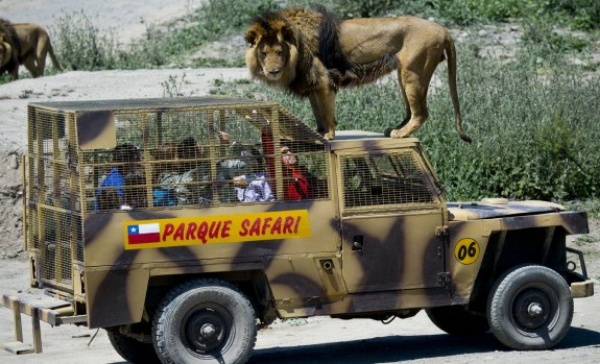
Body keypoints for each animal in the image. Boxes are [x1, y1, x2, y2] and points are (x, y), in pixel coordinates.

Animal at [246, 7, 472, 143]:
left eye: (280, 52)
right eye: (263, 53)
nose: (273, 71)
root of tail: (444, 30)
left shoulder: (324, 79)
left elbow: (326, 111)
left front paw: (329, 135)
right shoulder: (312, 83)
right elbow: (317, 111)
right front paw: (318, 133)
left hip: (414, 72)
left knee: (421, 113)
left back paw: (400, 133)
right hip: (404, 73)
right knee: (411, 111)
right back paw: (394, 128)